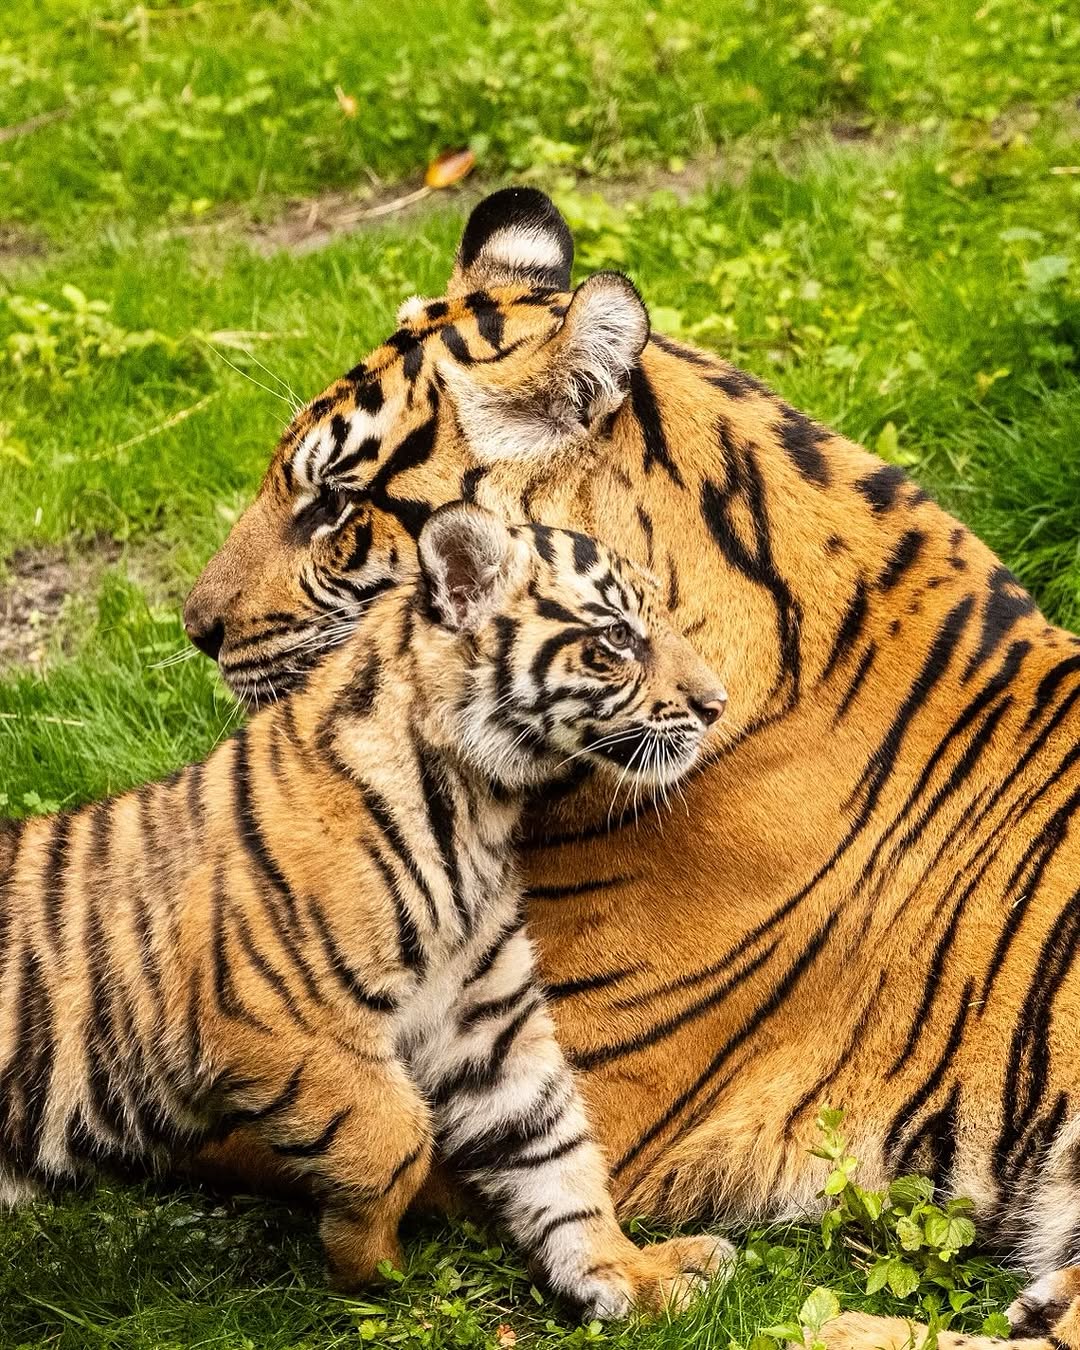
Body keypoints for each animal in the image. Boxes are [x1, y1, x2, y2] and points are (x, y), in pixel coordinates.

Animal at [0, 502, 735, 1315]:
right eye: (618, 637)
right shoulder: (263, 1017)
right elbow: (397, 1134)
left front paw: (628, 1273)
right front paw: (369, 1268)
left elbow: (554, 1148)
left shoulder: (487, 1016)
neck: (477, 805)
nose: (716, 705)